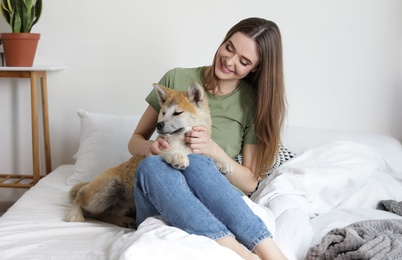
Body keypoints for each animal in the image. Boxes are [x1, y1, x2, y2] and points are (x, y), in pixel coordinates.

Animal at [66, 83, 232, 228]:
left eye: (177, 113)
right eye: (163, 112)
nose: (159, 125)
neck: (182, 143)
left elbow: (208, 154)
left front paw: (222, 161)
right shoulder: (158, 148)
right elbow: (167, 150)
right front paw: (177, 156)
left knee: (102, 215)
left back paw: (124, 221)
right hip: (105, 188)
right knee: (80, 198)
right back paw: (74, 214)